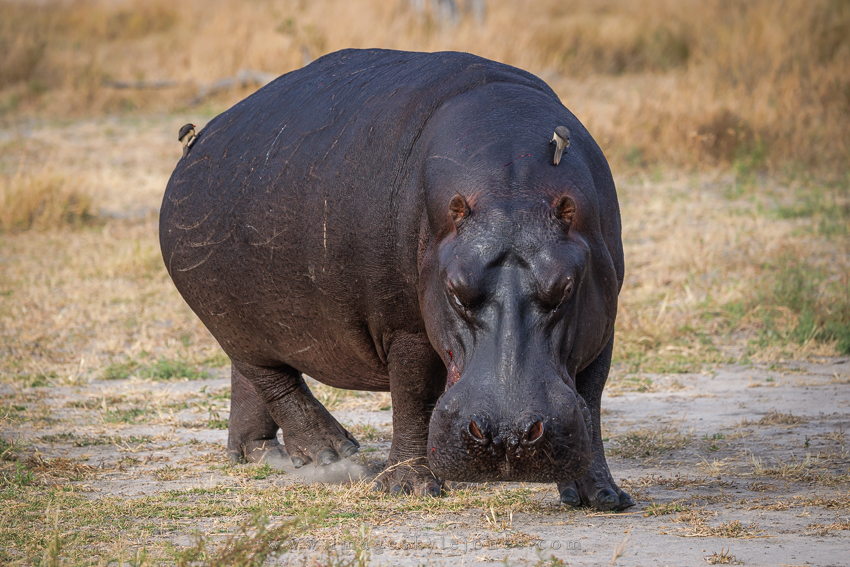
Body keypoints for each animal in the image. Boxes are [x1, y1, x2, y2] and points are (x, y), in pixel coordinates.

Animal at [159, 49, 633, 511]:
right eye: (455, 290)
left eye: (566, 288)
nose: (507, 436)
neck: (511, 188)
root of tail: (197, 143)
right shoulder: (405, 325)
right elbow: (413, 395)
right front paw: (408, 487)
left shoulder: (602, 326)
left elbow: (590, 397)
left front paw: (603, 496)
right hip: (227, 319)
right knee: (272, 379)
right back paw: (332, 455)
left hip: (249, 316)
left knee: (251, 378)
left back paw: (265, 455)